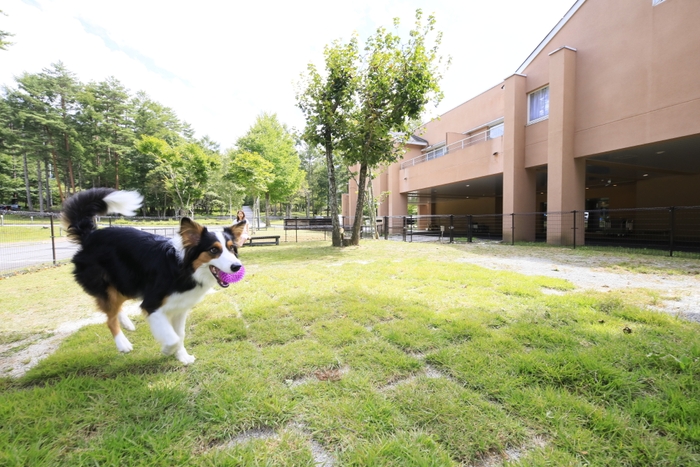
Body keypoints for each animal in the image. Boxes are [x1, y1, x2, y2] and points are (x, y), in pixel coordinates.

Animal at [61, 188, 246, 364]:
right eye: (213, 250)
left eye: (231, 248)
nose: (237, 267)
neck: (183, 269)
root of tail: (89, 236)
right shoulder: (152, 305)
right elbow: (173, 338)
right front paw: (167, 350)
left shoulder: (180, 307)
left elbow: (180, 335)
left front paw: (182, 357)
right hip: (112, 283)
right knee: (109, 316)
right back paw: (122, 343)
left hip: (128, 283)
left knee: (115, 307)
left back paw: (127, 324)